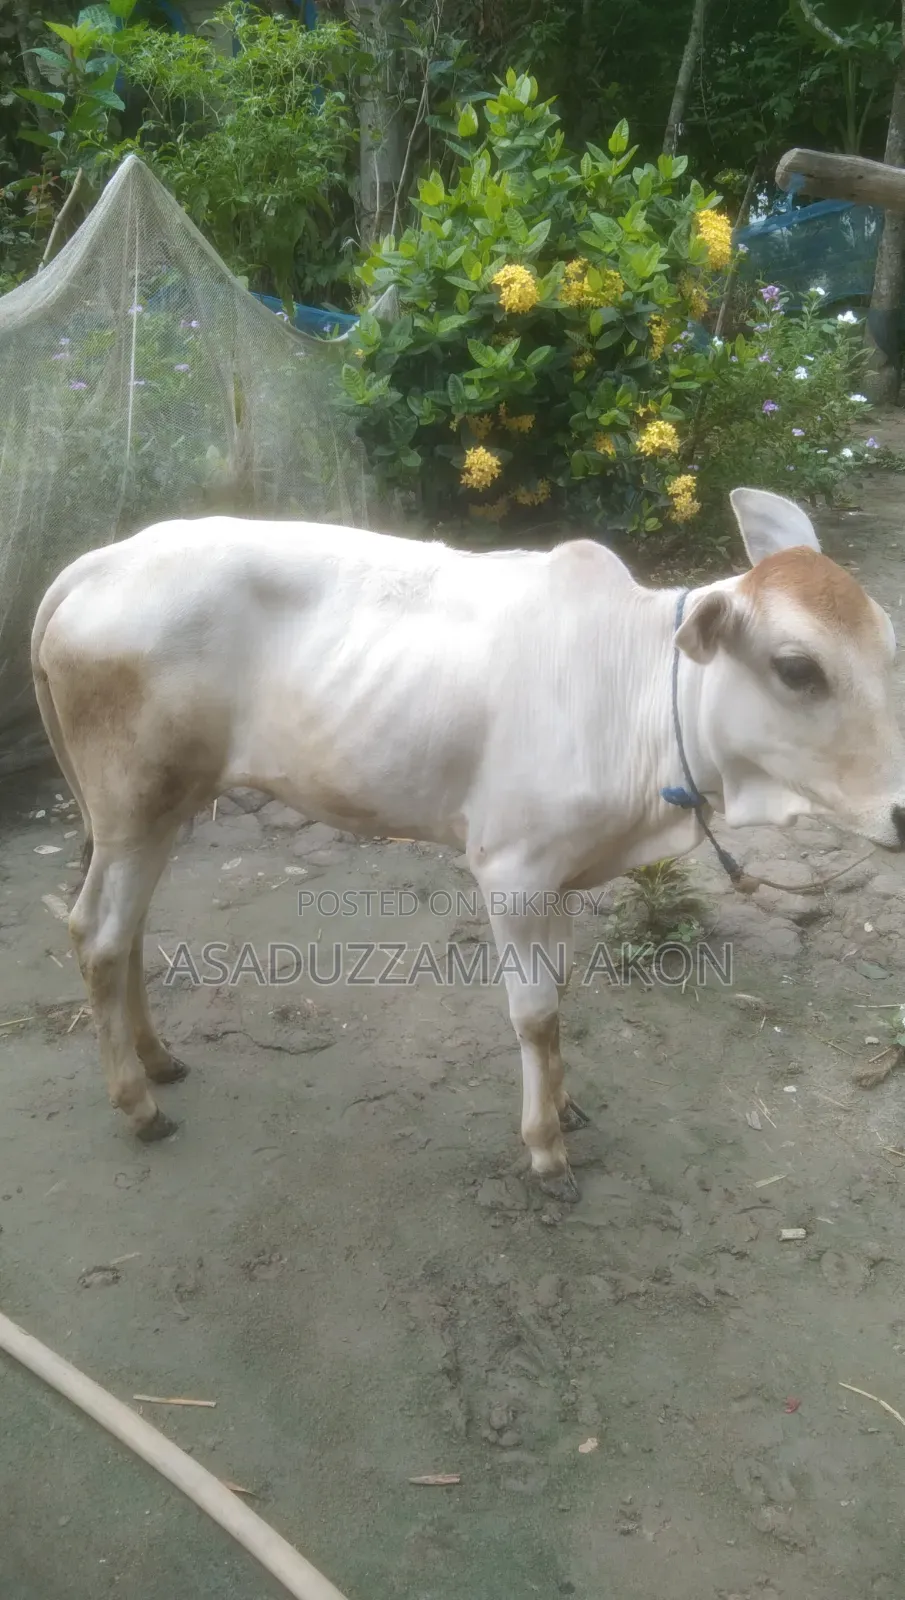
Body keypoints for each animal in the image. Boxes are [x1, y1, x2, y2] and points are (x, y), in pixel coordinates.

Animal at [30, 487, 905, 1201]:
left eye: (886, 646)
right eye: (796, 669)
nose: (901, 811)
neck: (639, 700)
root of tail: (99, 563)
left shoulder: (560, 874)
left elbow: (559, 994)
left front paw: (564, 1107)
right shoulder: (511, 871)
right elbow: (535, 1013)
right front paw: (545, 1151)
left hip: (156, 813)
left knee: (129, 931)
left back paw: (158, 1059)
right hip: (134, 807)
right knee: (97, 935)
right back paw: (138, 1103)